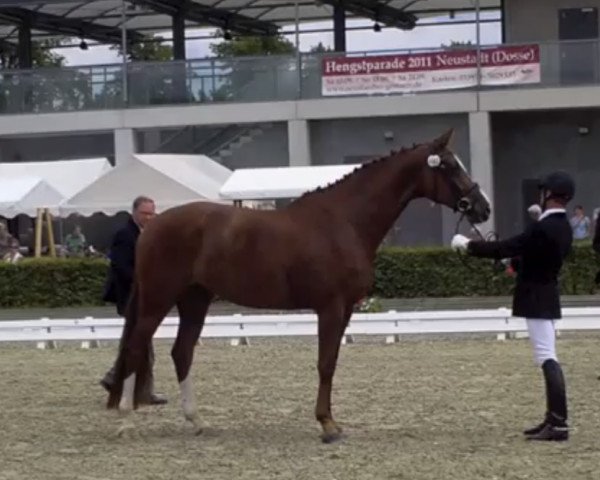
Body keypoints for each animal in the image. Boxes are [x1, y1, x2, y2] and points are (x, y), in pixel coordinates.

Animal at [109, 127, 492, 442]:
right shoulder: (330, 307)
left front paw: (332, 421)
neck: (344, 221)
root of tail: (152, 227)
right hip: (158, 299)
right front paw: (327, 425)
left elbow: (332, 361)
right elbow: (325, 364)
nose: (482, 208)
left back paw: (196, 421)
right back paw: (126, 421)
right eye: (448, 166)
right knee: (136, 348)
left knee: (181, 351)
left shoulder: (345, 310)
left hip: (194, 300)